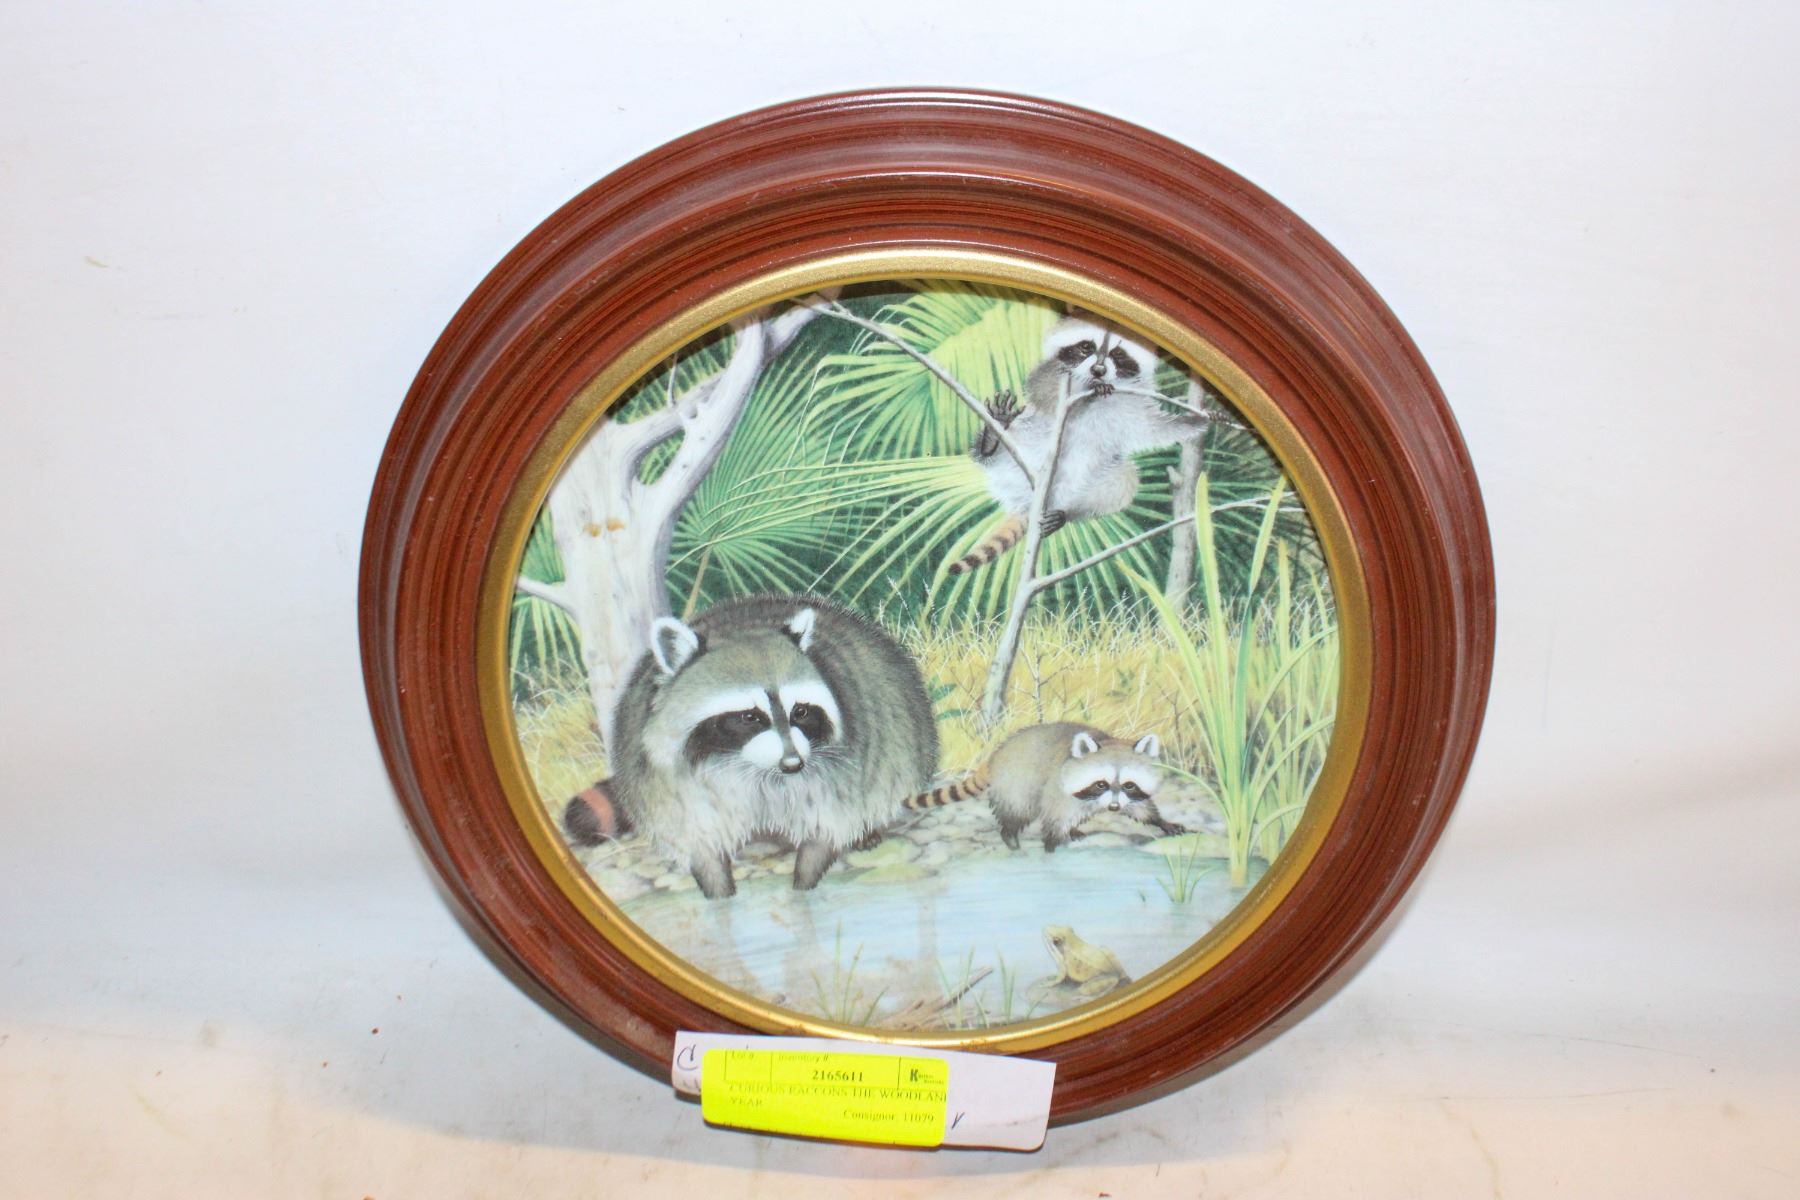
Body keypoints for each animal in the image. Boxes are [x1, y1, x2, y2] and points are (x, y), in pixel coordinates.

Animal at [593, 594, 937, 898]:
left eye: (800, 711)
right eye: (750, 717)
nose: (793, 764)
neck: (752, 768)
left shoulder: (844, 766)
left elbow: (828, 828)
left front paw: (803, 887)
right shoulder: (665, 781)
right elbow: (700, 842)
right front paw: (719, 894)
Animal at [906, 721, 1186, 851]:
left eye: (1129, 785)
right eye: (1101, 784)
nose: (1115, 808)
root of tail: (996, 755)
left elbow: (1141, 808)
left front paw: (1162, 821)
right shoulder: (1059, 788)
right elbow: (1054, 817)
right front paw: (1052, 844)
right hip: (1016, 781)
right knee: (1018, 810)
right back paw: (1010, 834)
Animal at [948, 314, 1204, 574]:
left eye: (1117, 353)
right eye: (1086, 347)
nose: (1098, 370)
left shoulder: (1135, 399)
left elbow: (1153, 428)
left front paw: (1194, 421)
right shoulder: (1052, 373)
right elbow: (1046, 393)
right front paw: (1089, 391)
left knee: (1125, 479)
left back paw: (1066, 513)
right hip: (1021, 454)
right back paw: (991, 439)